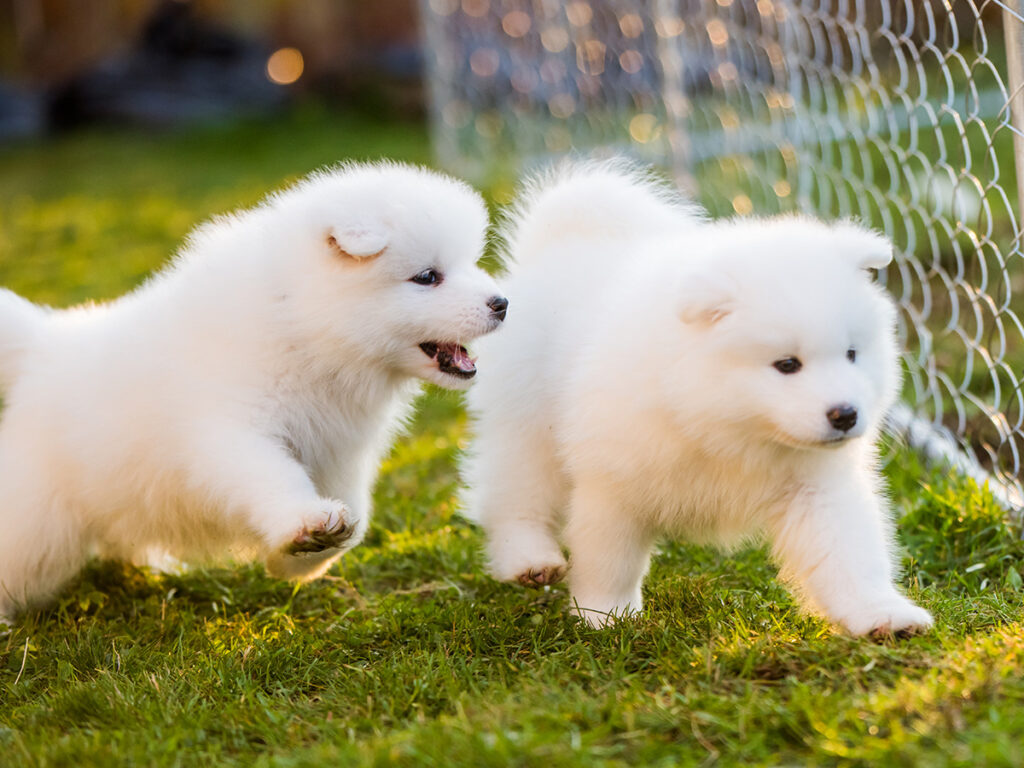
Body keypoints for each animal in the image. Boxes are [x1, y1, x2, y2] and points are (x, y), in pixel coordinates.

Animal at [0, 162, 507, 626]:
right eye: (427, 276)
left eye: (468, 264)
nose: (502, 303)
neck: (305, 329)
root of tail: (44, 346)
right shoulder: (232, 433)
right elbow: (272, 475)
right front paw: (306, 523)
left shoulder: (341, 453)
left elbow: (357, 515)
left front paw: (300, 556)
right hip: (36, 523)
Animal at [464, 160, 937, 638]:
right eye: (787, 364)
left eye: (852, 354)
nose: (845, 415)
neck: (722, 423)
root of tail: (563, 244)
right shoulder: (614, 483)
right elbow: (609, 559)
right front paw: (605, 616)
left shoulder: (817, 487)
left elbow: (849, 554)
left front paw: (881, 613)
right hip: (527, 420)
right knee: (514, 490)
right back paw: (529, 558)